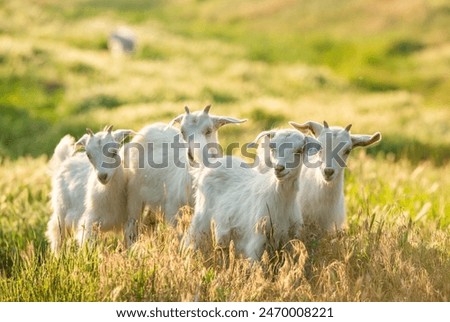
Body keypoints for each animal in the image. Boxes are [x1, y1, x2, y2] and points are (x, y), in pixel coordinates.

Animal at [124, 104, 246, 243]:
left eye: (209, 130)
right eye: (182, 131)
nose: (192, 155)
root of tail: (150, 127)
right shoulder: (174, 212)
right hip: (134, 195)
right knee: (131, 227)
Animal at [186, 130, 320, 260]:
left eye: (299, 150)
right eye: (272, 147)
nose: (279, 168)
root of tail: (208, 165)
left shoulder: (289, 241)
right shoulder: (256, 243)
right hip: (202, 218)